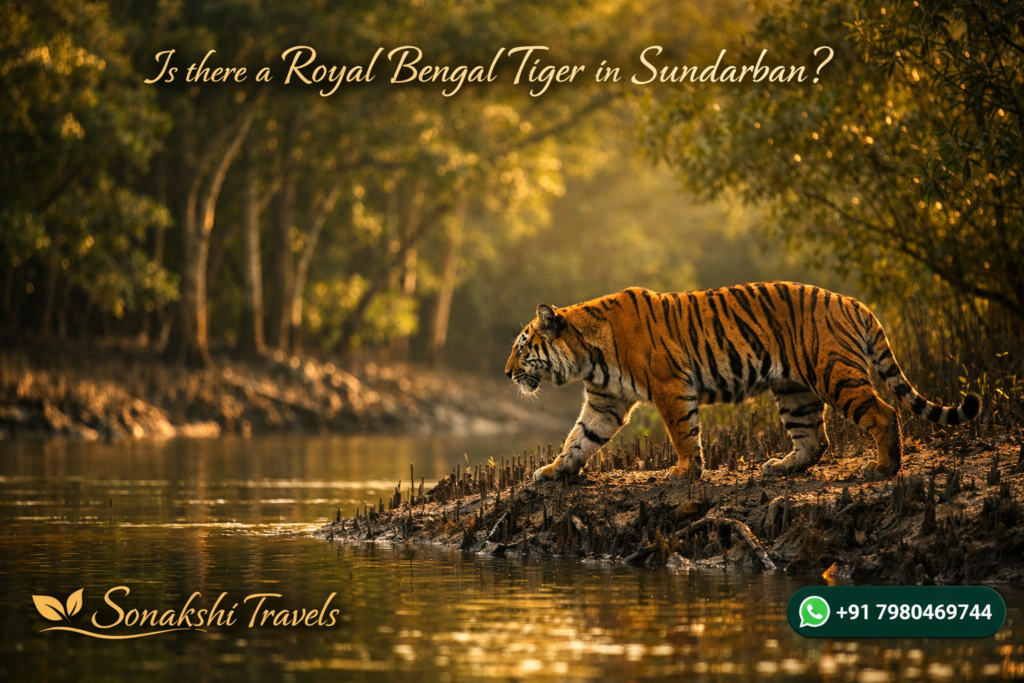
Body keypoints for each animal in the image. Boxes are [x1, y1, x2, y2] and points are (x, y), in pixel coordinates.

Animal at [504, 282, 981, 482]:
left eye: (523, 347)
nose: (507, 373)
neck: (588, 356)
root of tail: (852, 301)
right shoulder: (605, 402)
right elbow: (579, 438)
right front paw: (554, 470)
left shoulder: (670, 387)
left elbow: (682, 433)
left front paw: (684, 472)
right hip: (794, 390)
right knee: (814, 439)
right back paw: (783, 466)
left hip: (835, 375)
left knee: (882, 413)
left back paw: (884, 468)